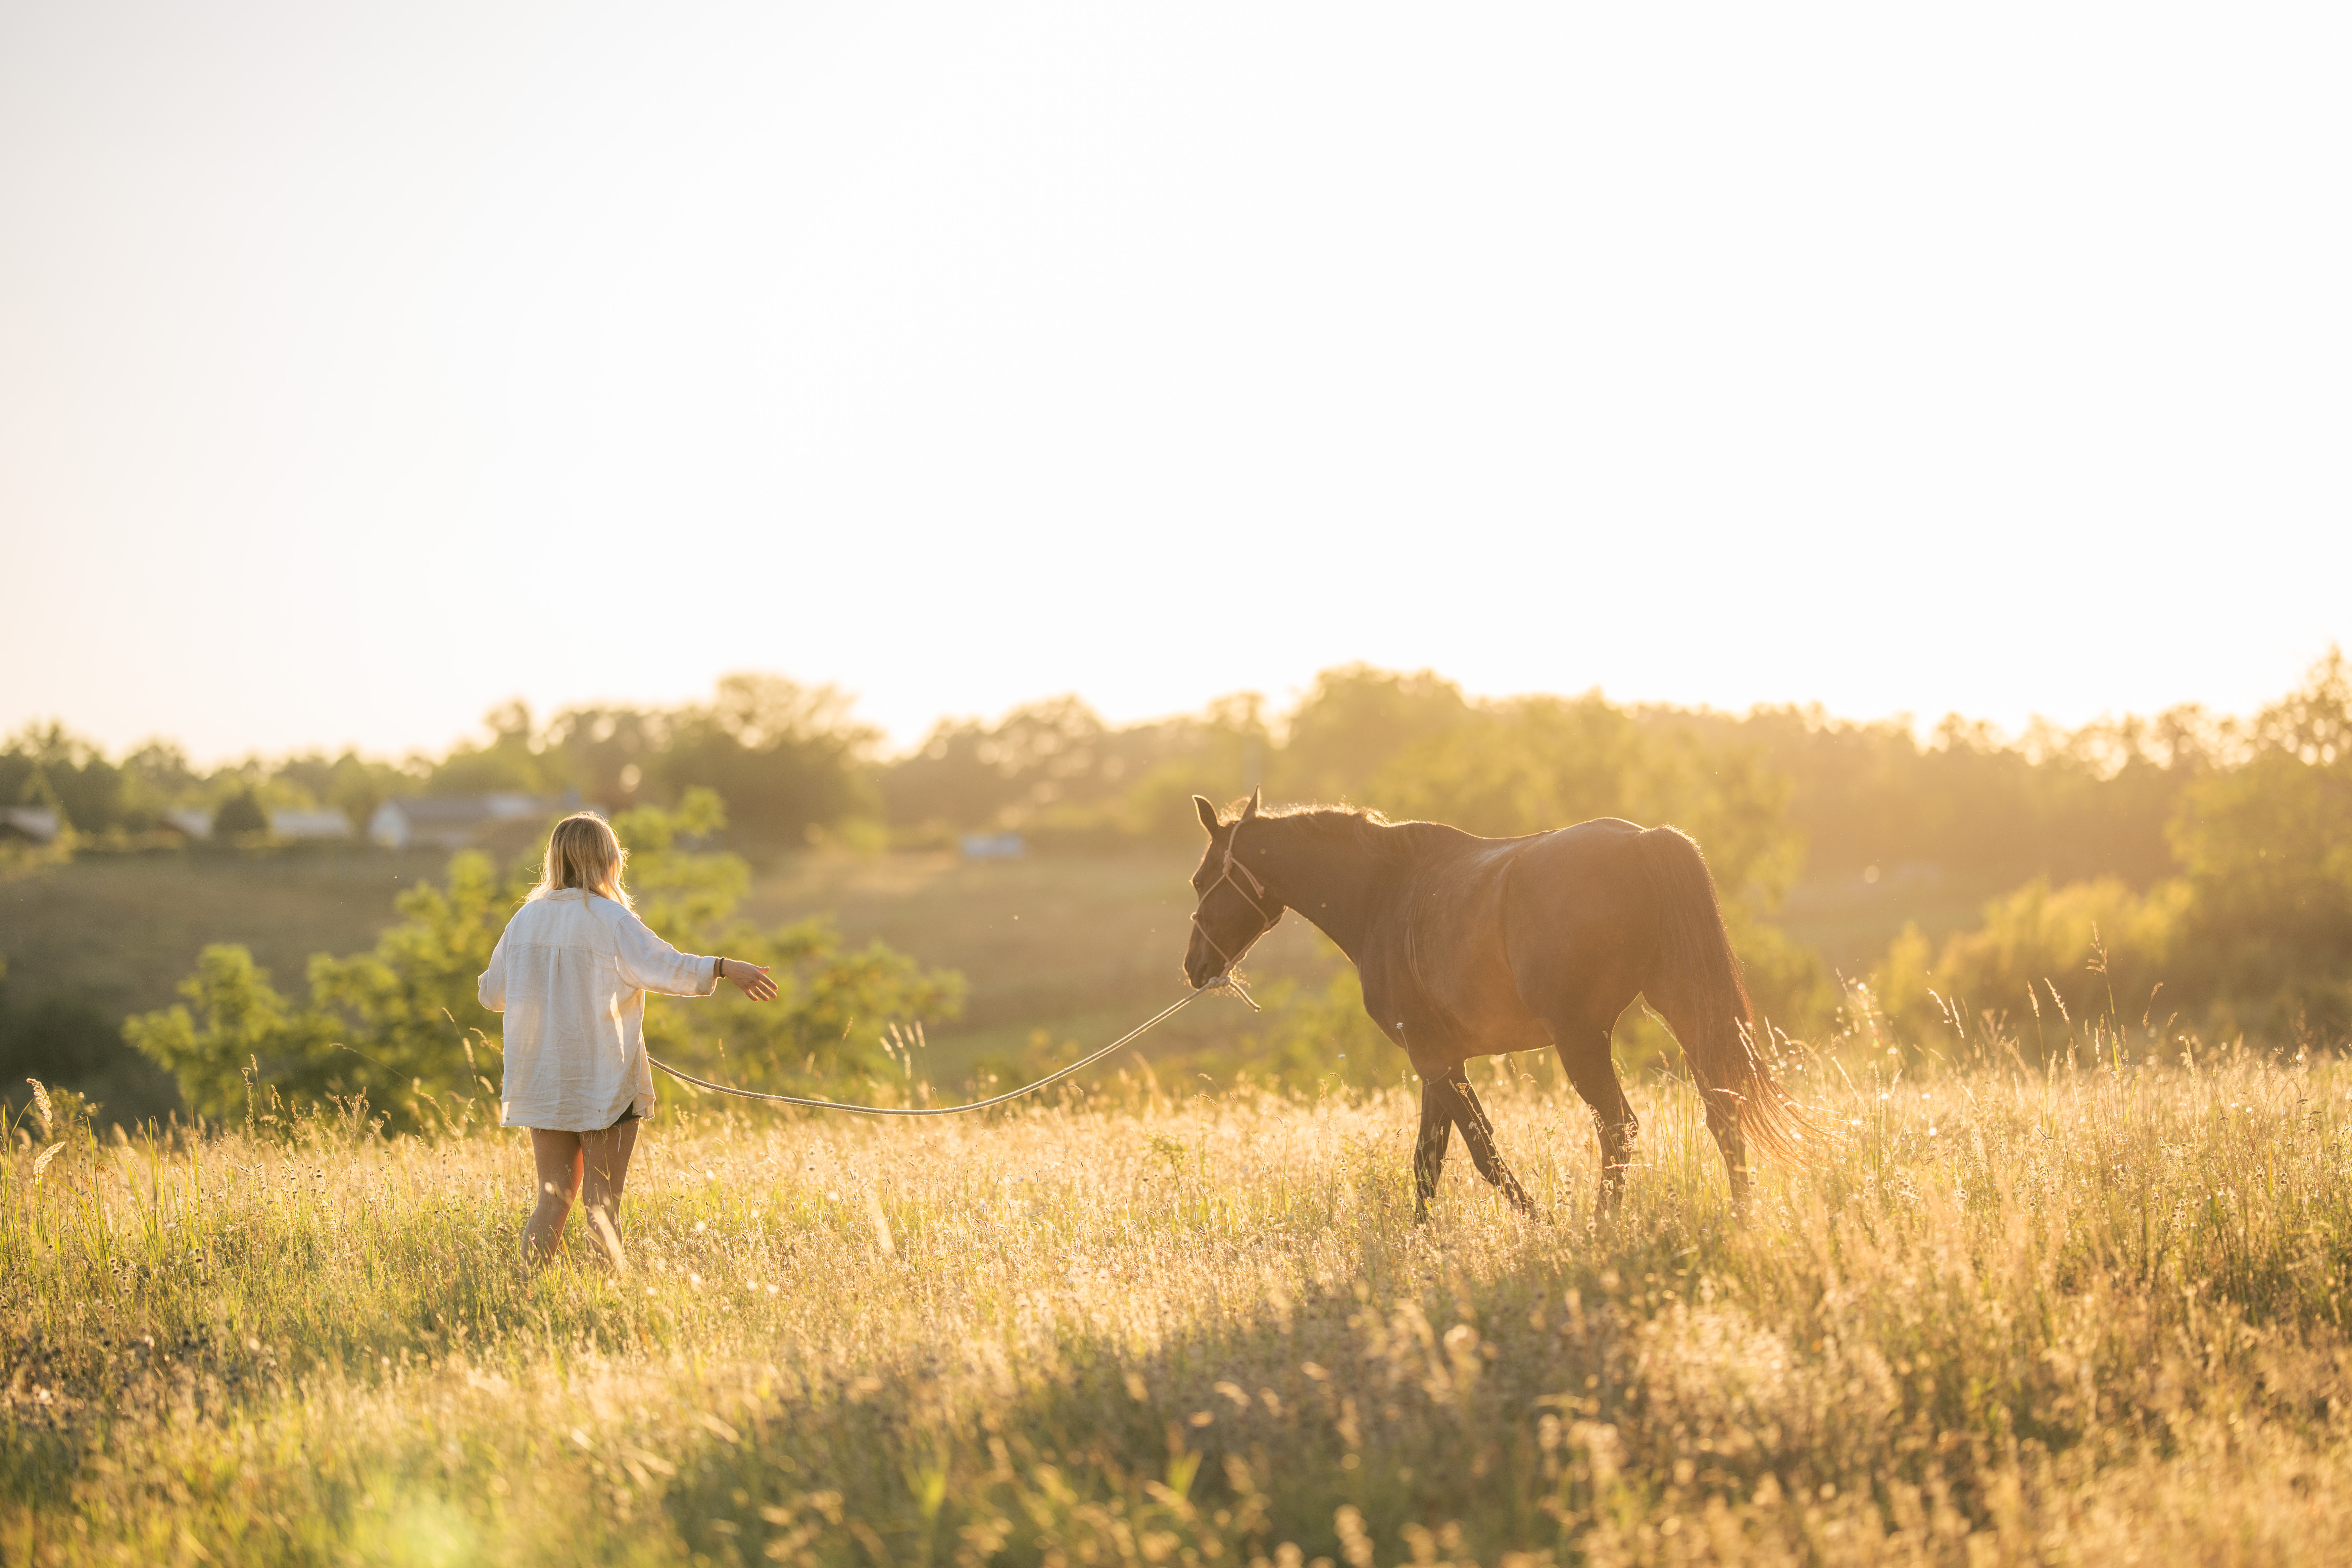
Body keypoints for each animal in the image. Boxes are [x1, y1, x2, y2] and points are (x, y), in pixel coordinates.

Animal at [1182, 789, 1808, 1222]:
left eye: (1201, 878)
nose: (1194, 965)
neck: (1386, 894)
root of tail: (1640, 840)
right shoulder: (1440, 1062)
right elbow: (1428, 1161)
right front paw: (1420, 1241)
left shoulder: (1433, 1059)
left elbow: (1479, 1154)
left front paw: (1541, 1222)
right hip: (1684, 1013)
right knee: (1722, 1113)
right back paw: (1741, 1221)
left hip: (1582, 1039)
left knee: (1619, 1128)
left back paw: (1602, 1229)